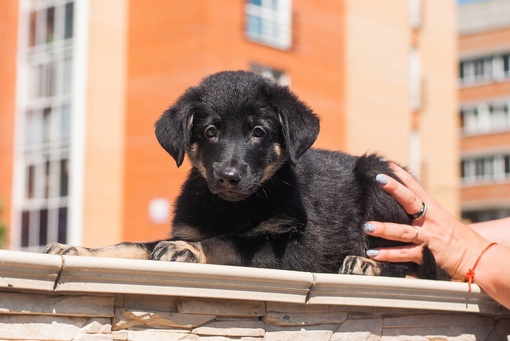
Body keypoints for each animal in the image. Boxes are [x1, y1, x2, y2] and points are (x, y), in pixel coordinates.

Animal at [45, 69, 444, 278]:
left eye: (258, 132)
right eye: (210, 131)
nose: (228, 176)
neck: (232, 206)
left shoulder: (296, 246)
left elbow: (231, 241)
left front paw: (190, 250)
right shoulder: (184, 226)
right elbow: (132, 246)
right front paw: (76, 248)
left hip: (378, 175)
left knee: (402, 263)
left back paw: (364, 261)